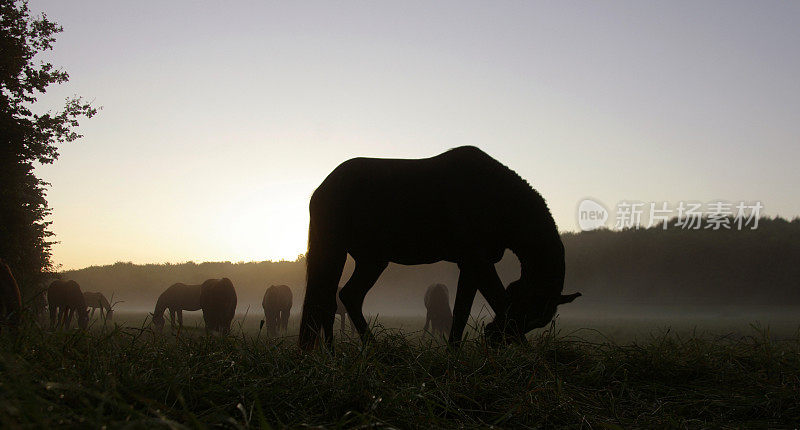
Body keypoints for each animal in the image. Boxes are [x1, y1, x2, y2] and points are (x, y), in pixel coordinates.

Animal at [296, 145, 580, 350]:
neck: (495, 198)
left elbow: (462, 312)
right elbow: (498, 301)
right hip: (335, 251)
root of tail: (321, 189)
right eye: (526, 308)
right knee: (327, 299)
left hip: (372, 260)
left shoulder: (472, 265)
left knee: (346, 296)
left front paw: (454, 354)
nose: (493, 337)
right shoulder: (477, 261)